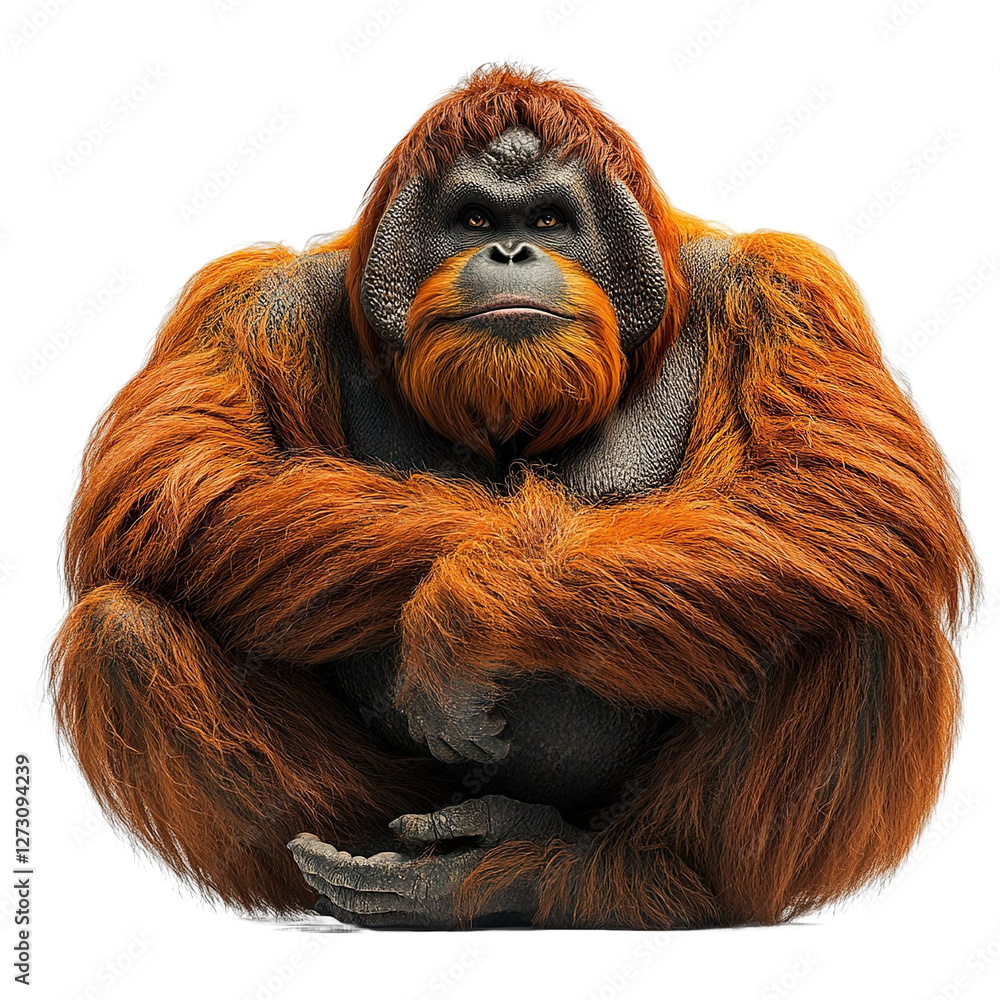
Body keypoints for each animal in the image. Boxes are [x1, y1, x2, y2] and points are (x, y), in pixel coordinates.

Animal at [50, 64, 976, 930]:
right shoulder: (251, 301)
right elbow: (184, 483)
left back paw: (582, 874)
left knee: (859, 615)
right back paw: (416, 874)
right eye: (473, 222)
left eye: (548, 223)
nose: (508, 255)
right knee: (121, 630)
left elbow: (839, 490)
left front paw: (466, 616)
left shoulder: (781, 289)